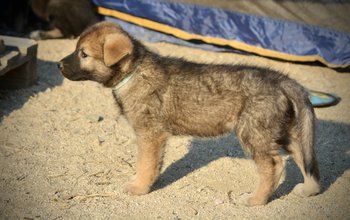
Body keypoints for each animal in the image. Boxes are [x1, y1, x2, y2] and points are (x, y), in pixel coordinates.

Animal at [59, 21, 320, 205]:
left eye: (84, 54)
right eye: (77, 50)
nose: (59, 65)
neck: (134, 71)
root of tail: (282, 80)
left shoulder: (150, 134)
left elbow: (145, 164)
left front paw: (138, 187)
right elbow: (149, 164)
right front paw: (140, 183)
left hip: (254, 132)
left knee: (273, 166)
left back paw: (256, 200)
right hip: (283, 132)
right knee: (304, 158)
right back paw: (309, 190)